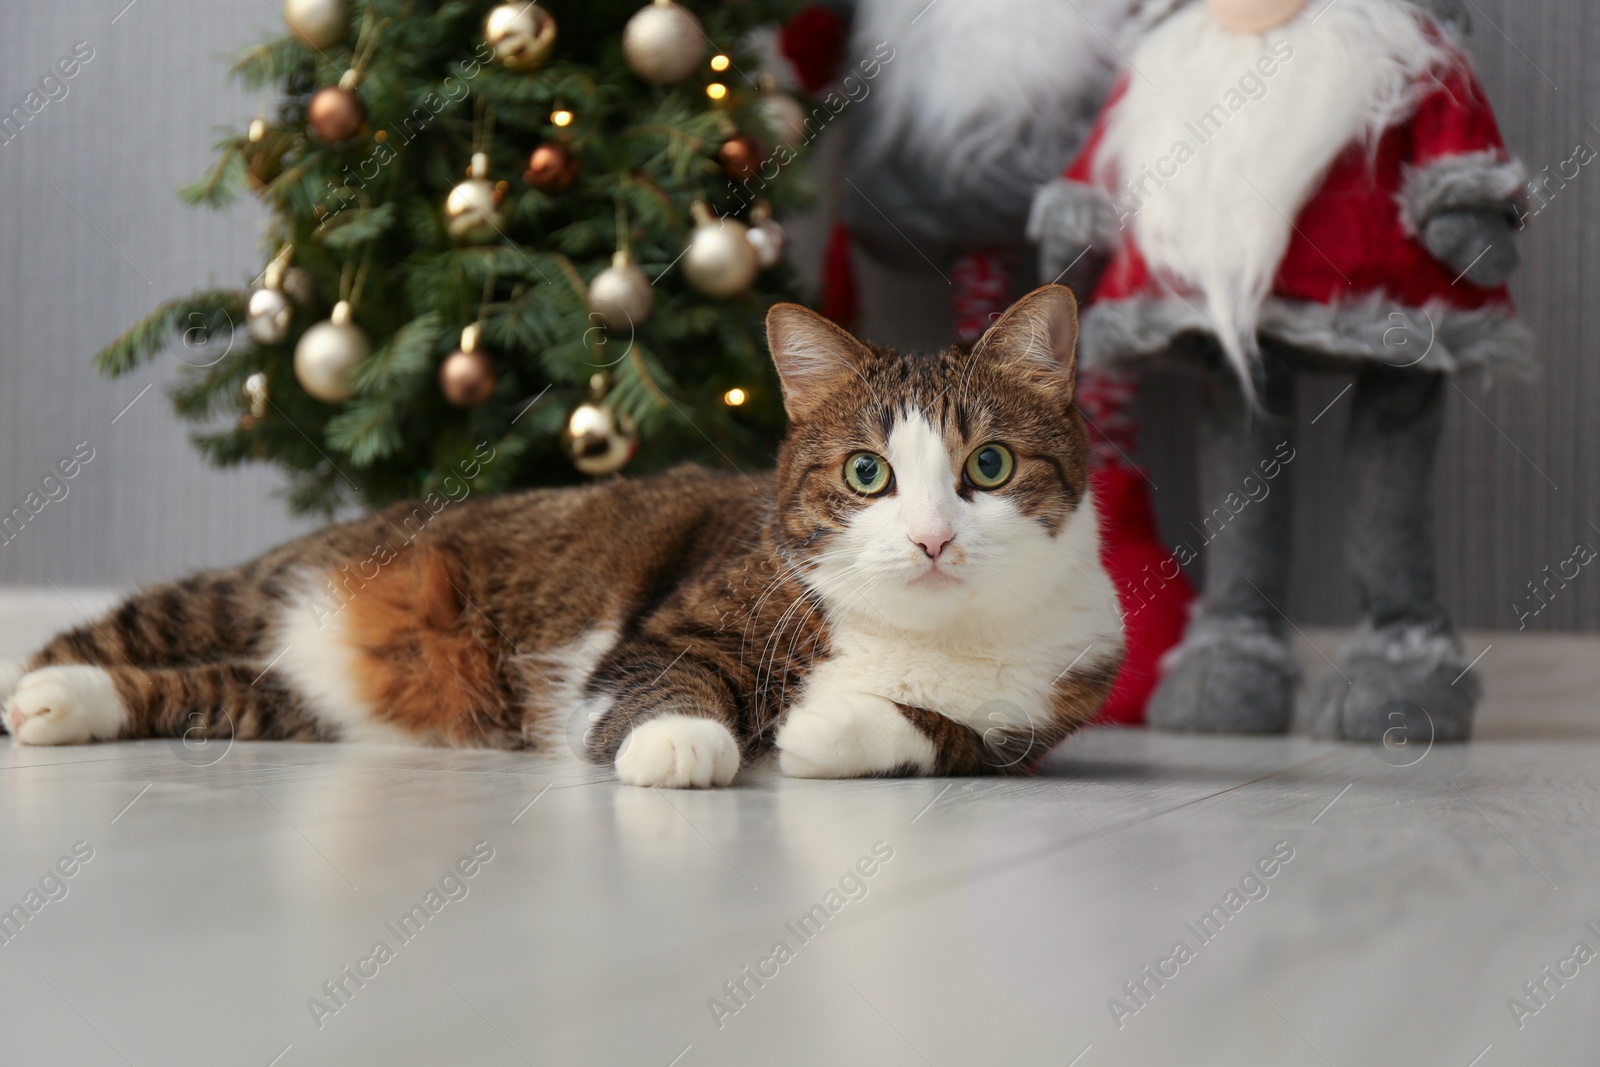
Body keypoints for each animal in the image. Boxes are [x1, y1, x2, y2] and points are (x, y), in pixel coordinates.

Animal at [0, 287, 1126, 790]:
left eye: (989, 467)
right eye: (866, 474)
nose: (933, 540)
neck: (925, 631)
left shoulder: (1047, 709)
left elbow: (952, 734)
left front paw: (824, 725)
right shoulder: (667, 626)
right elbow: (664, 677)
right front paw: (684, 743)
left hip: (312, 697)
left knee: (221, 688)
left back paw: (67, 706)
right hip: (262, 585)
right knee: (145, 624)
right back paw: (35, 688)